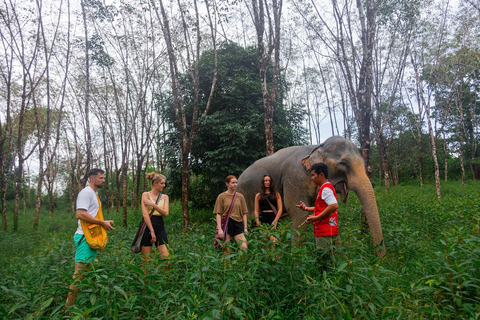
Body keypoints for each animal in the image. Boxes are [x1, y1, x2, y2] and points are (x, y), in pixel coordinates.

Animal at [239, 136, 386, 256]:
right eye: (344, 163)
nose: (381, 259)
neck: (318, 146)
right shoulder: (294, 179)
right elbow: (299, 215)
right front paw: (297, 260)